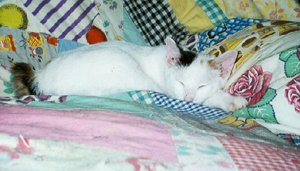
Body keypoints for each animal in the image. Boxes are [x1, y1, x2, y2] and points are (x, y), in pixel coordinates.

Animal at [11, 37, 248, 111]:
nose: (188, 98)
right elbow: (207, 99)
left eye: (201, 85)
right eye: (180, 82)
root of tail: (40, 75)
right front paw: (231, 100)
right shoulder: (168, 90)